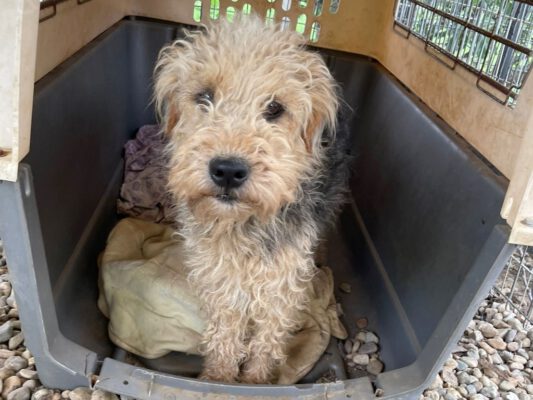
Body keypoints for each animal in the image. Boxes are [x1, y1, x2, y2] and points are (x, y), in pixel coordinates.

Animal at [153, 14, 350, 384]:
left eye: (275, 108)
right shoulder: (218, 273)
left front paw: (256, 380)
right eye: (204, 96)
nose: (228, 171)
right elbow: (224, 330)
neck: (242, 225)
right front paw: (219, 377)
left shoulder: (281, 279)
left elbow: (269, 336)